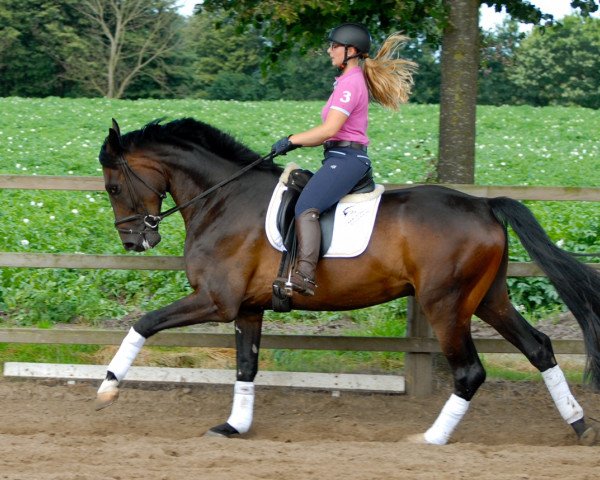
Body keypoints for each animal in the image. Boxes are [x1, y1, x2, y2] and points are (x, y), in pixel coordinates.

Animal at [95, 117, 600, 446]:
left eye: (113, 187)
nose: (134, 240)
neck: (223, 199)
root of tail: (484, 205)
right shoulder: (248, 308)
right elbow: (246, 367)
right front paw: (234, 426)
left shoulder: (216, 301)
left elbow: (144, 323)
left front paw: (108, 387)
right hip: (487, 300)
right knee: (539, 348)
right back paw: (578, 424)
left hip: (446, 305)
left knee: (470, 371)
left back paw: (432, 438)